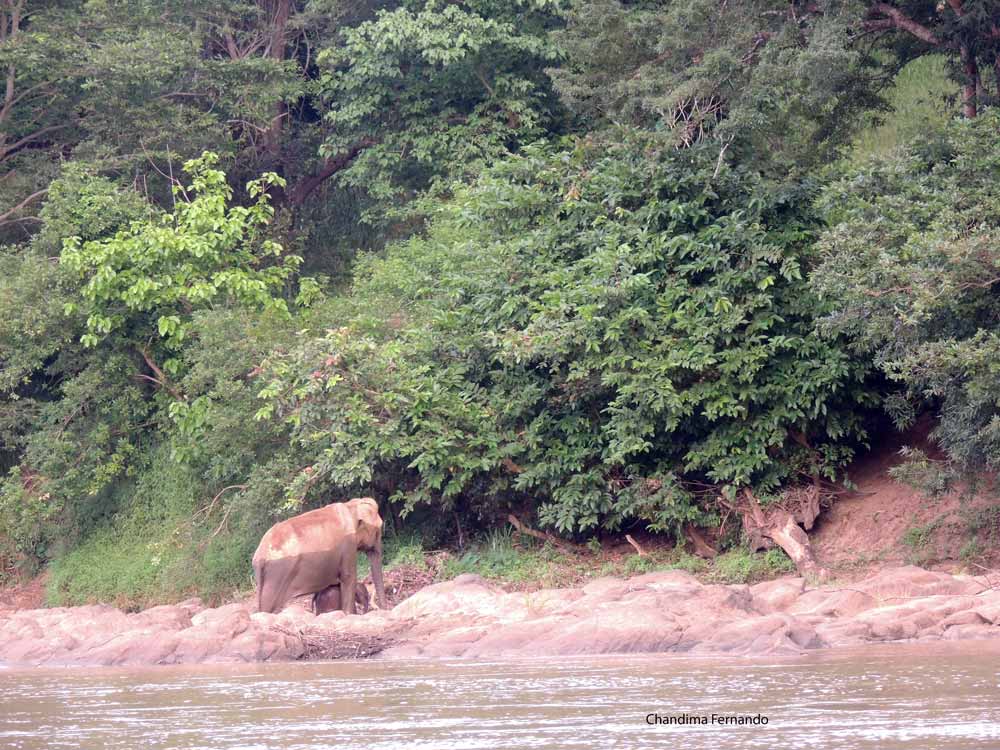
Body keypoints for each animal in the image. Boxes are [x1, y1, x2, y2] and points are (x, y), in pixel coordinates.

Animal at [254, 496, 386, 612]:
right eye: (378, 530)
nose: (384, 608)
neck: (350, 506)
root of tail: (260, 555)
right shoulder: (348, 545)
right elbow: (348, 577)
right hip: (277, 574)